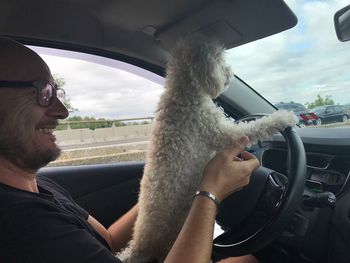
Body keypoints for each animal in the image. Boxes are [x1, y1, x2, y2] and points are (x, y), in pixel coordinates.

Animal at [119, 35, 296, 263]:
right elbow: (255, 127)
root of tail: (139, 246)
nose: (231, 73)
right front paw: (284, 117)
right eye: (219, 60)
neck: (183, 91)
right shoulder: (221, 132)